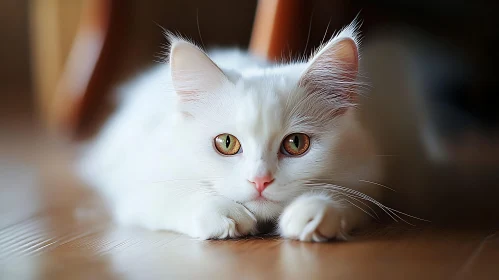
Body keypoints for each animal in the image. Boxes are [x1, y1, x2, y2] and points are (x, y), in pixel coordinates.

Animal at [77, 21, 382, 241]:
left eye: (296, 143)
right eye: (226, 143)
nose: (260, 181)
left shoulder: (364, 183)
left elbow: (342, 197)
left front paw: (315, 212)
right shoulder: (140, 186)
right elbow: (182, 196)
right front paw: (225, 215)